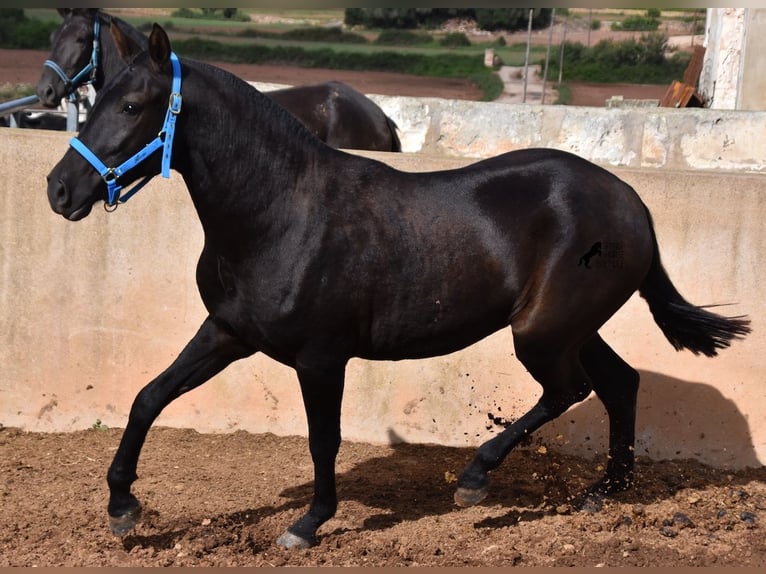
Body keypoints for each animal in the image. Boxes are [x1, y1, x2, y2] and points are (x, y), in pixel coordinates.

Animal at [45, 24, 752, 552]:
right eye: (98, 99)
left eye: (132, 106)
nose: (59, 190)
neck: (280, 213)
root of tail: (630, 201)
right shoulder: (227, 332)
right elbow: (148, 397)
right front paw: (122, 506)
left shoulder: (320, 357)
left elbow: (323, 439)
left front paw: (308, 523)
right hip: (571, 328)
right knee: (619, 384)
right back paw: (605, 492)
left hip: (542, 335)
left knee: (569, 391)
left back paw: (476, 478)